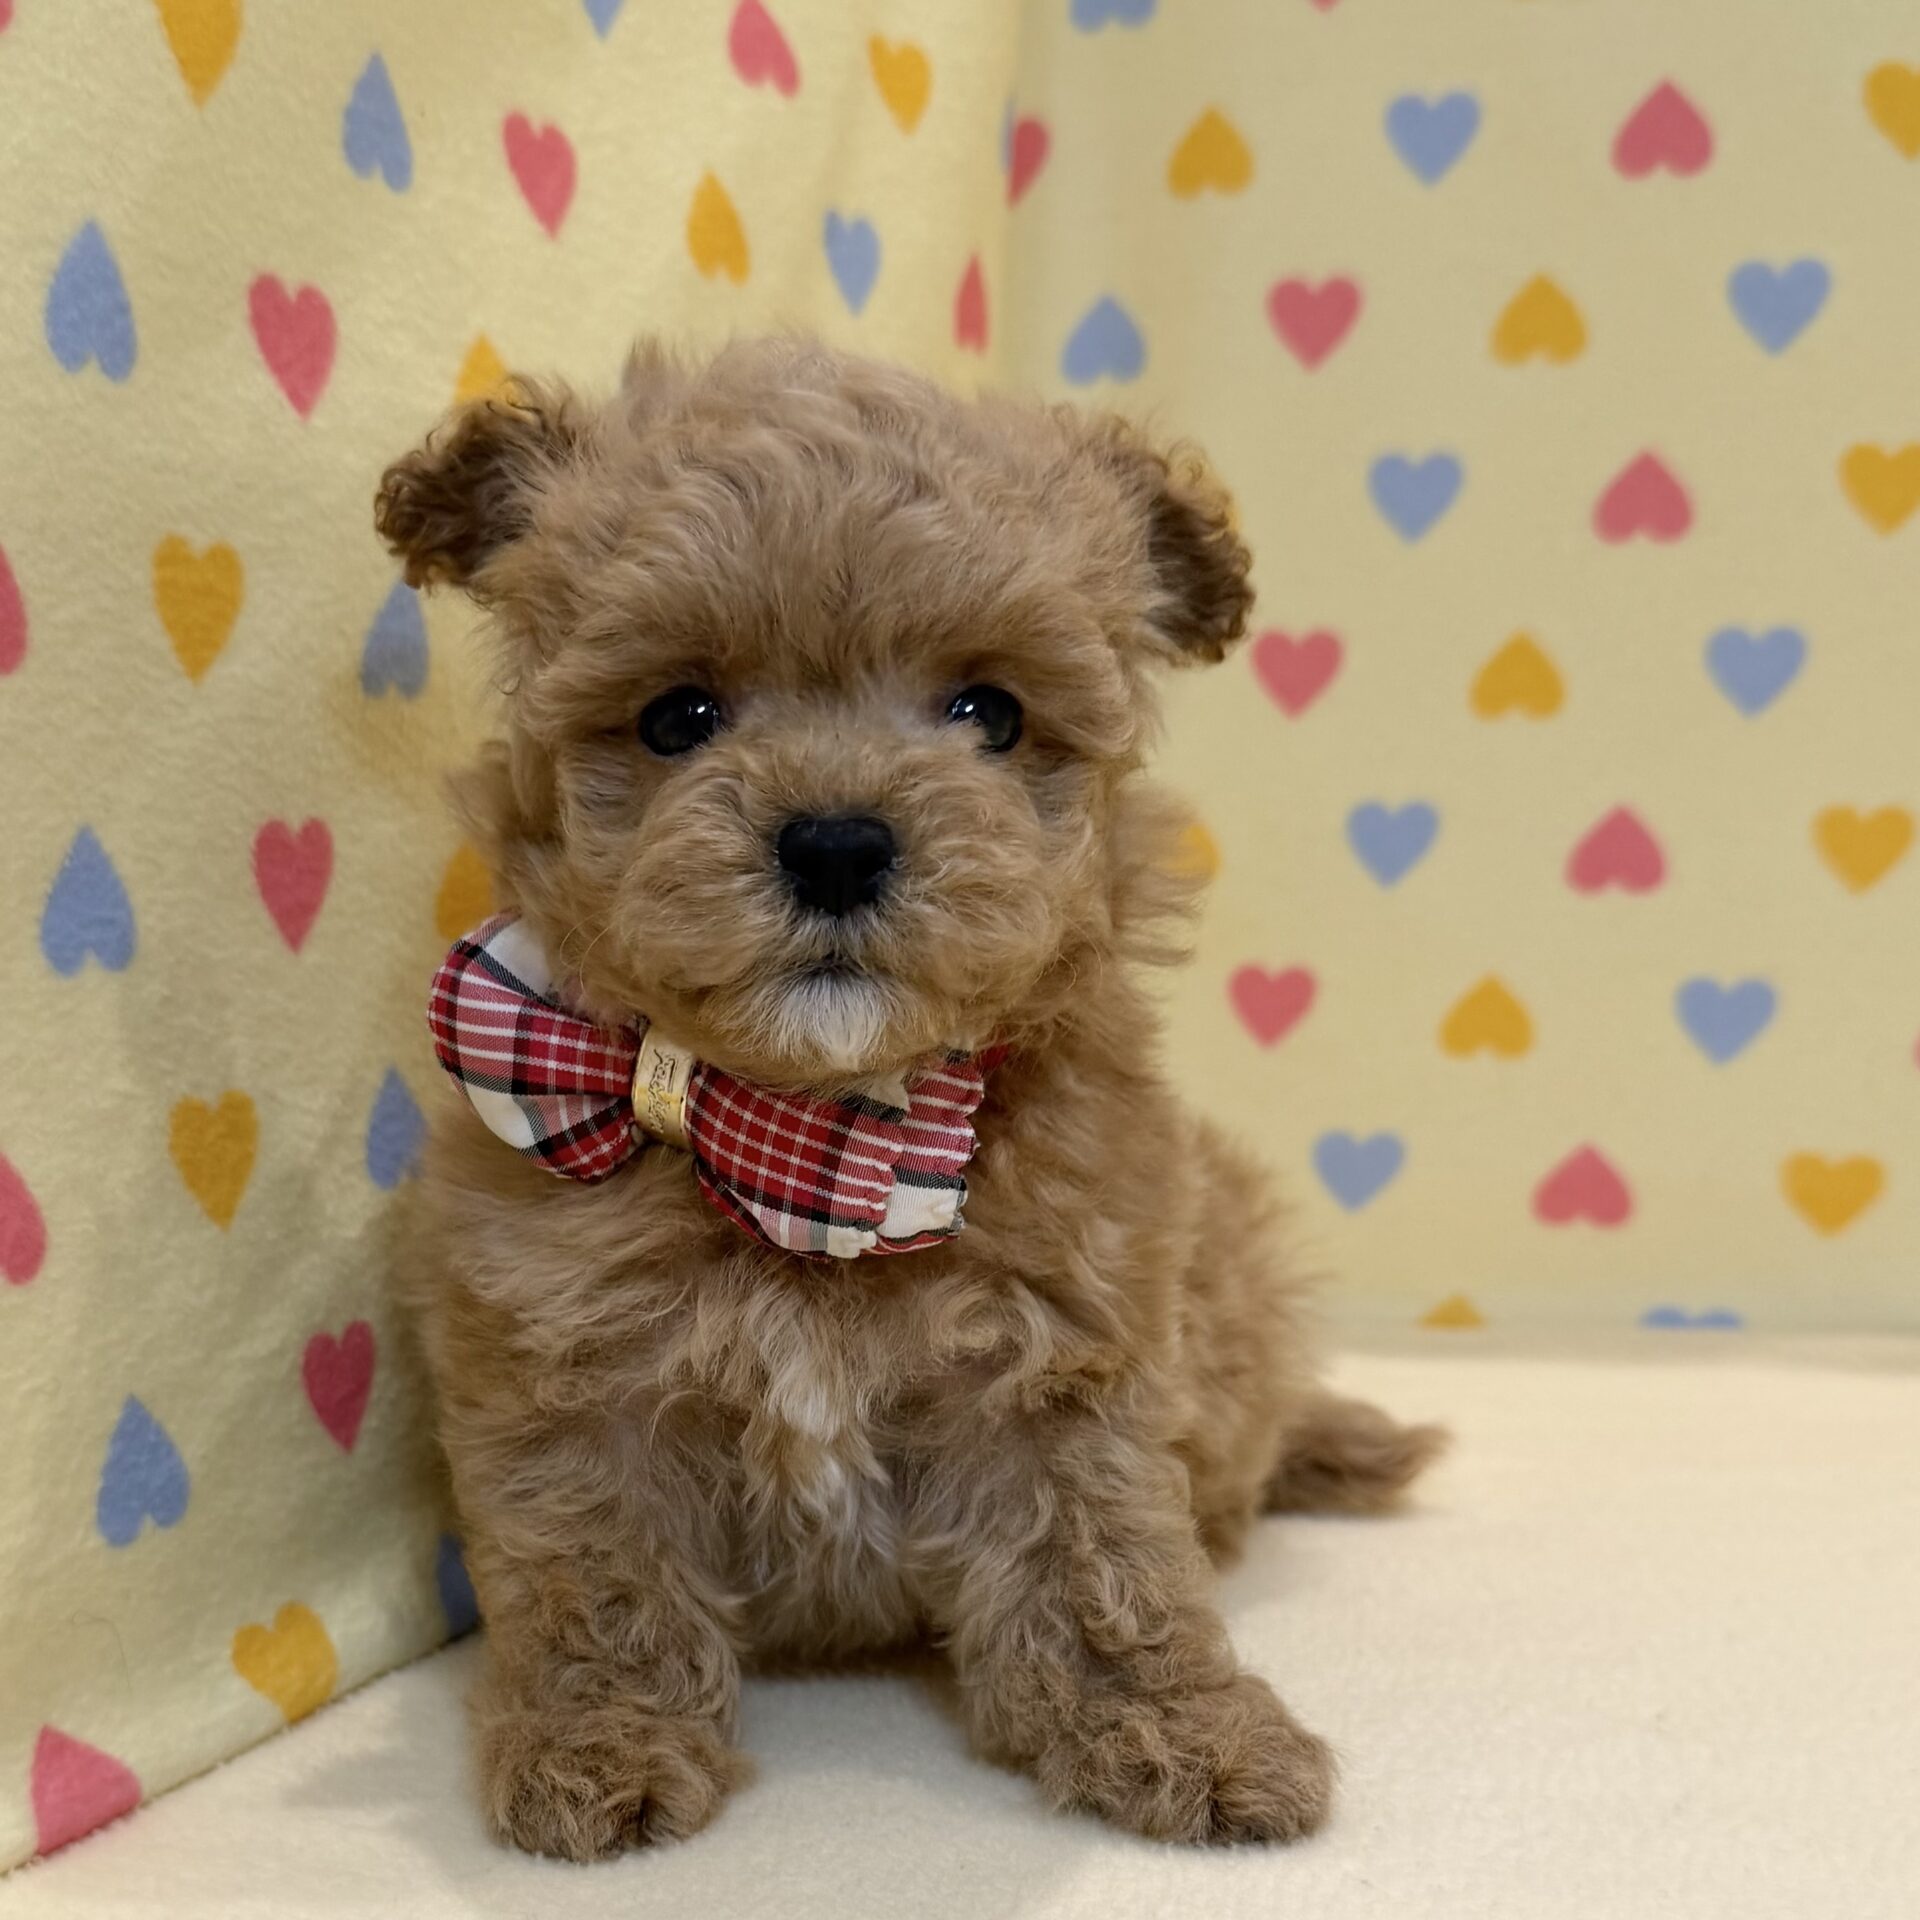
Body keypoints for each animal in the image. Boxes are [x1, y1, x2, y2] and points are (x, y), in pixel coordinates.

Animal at [375, 336, 1444, 1860]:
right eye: (677, 717)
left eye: (989, 713)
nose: (835, 842)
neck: (814, 1129)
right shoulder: (564, 1371)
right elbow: (597, 1576)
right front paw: (598, 1750)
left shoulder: (1070, 1355)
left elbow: (1108, 1568)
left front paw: (1190, 1739)